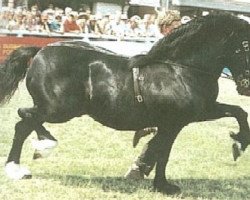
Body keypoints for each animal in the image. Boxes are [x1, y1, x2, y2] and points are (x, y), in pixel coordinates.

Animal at [1, 12, 250, 194]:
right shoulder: (174, 123)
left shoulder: (196, 114)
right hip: (58, 109)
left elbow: (239, 112)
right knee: (24, 119)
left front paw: (239, 143)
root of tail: (41, 50)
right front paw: (163, 186)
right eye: (246, 44)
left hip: (56, 109)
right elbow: (162, 151)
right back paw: (34, 153)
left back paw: (27, 159)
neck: (180, 70)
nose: (245, 85)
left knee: (24, 121)